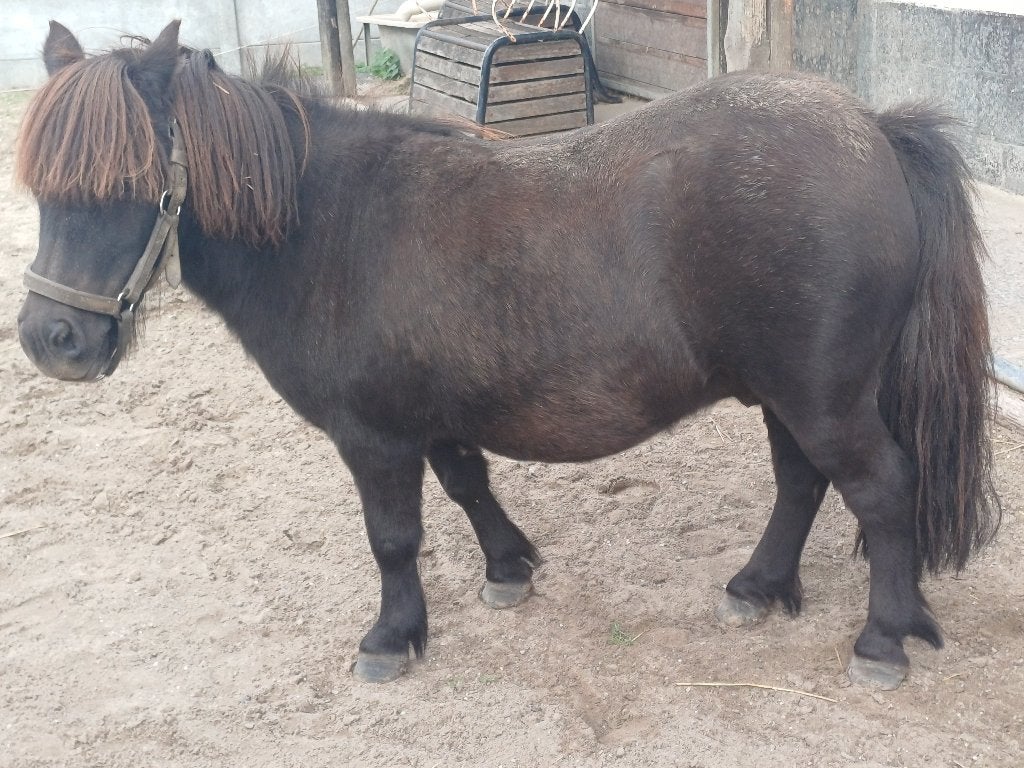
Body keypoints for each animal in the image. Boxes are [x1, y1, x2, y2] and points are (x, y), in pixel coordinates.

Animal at [15, 20, 999, 689]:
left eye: (131, 183)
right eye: (42, 187)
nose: (50, 339)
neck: (327, 227)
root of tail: (872, 129)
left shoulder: (373, 437)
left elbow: (394, 538)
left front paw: (392, 637)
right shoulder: (436, 416)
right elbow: (468, 485)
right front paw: (509, 569)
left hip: (824, 395)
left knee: (880, 489)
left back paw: (882, 639)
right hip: (788, 393)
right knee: (802, 483)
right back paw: (760, 588)